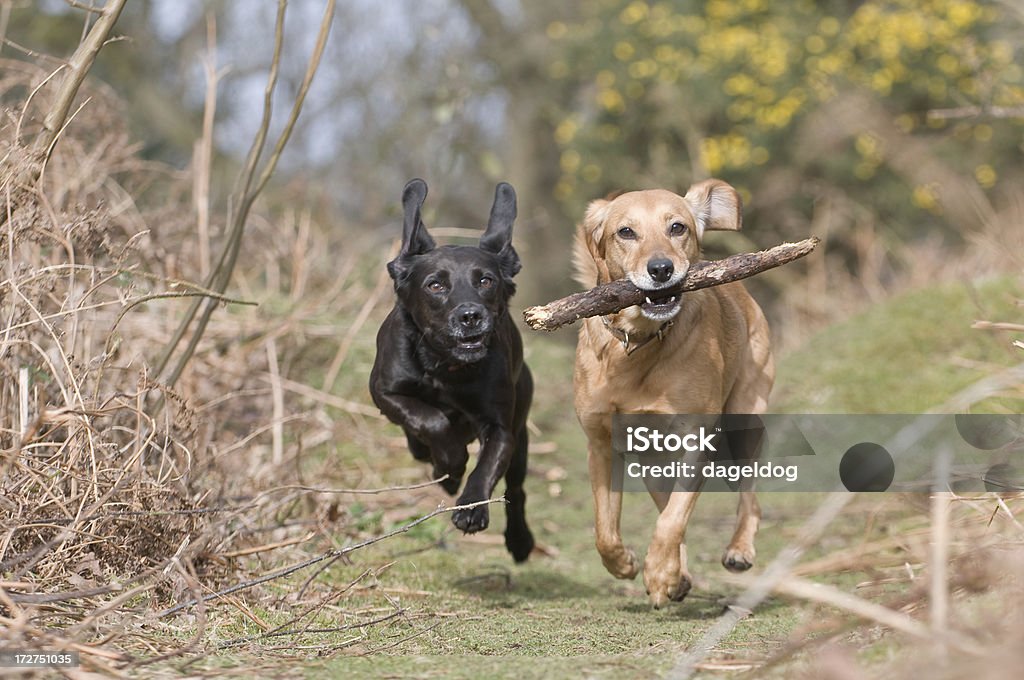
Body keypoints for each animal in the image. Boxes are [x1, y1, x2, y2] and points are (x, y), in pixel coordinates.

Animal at [372, 178, 540, 561]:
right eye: (435, 285)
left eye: (486, 281)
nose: (470, 315)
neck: (445, 368)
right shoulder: (385, 392)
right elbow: (430, 419)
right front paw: (450, 462)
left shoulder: (501, 427)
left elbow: (486, 468)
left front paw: (472, 509)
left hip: (522, 428)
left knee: (516, 490)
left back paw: (520, 541)